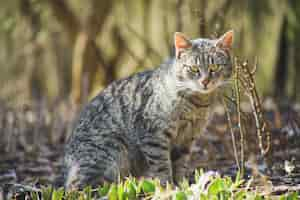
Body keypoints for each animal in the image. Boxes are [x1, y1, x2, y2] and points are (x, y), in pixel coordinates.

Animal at [62, 30, 233, 189]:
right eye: (194, 69)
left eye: (214, 67)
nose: (205, 81)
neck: (197, 103)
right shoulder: (153, 135)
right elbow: (162, 166)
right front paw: (168, 188)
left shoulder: (186, 140)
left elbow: (180, 165)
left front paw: (181, 186)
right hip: (108, 152)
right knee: (75, 186)